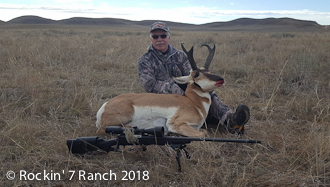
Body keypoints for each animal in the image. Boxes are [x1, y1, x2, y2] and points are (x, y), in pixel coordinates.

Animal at [95, 43, 224, 138]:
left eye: (209, 71)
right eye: (196, 74)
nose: (221, 79)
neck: (194, 103)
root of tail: (105, 105)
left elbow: (205, 132)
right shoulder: (175, 123)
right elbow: (202, 134)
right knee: (102, 130)